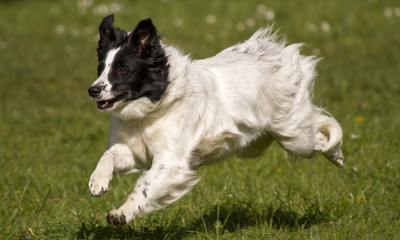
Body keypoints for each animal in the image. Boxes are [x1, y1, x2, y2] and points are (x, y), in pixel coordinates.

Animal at [87, 15, 344, 225]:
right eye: (100, 68)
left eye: (123, 69)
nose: (93, 90)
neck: (150, 111)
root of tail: (275, 51)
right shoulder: (133, 150)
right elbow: (108, 155)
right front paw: (97, 182)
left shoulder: (171, 162)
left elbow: (145, 187)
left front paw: (121, 213)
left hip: (293, 136)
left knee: (319, 135)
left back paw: (336, 155)